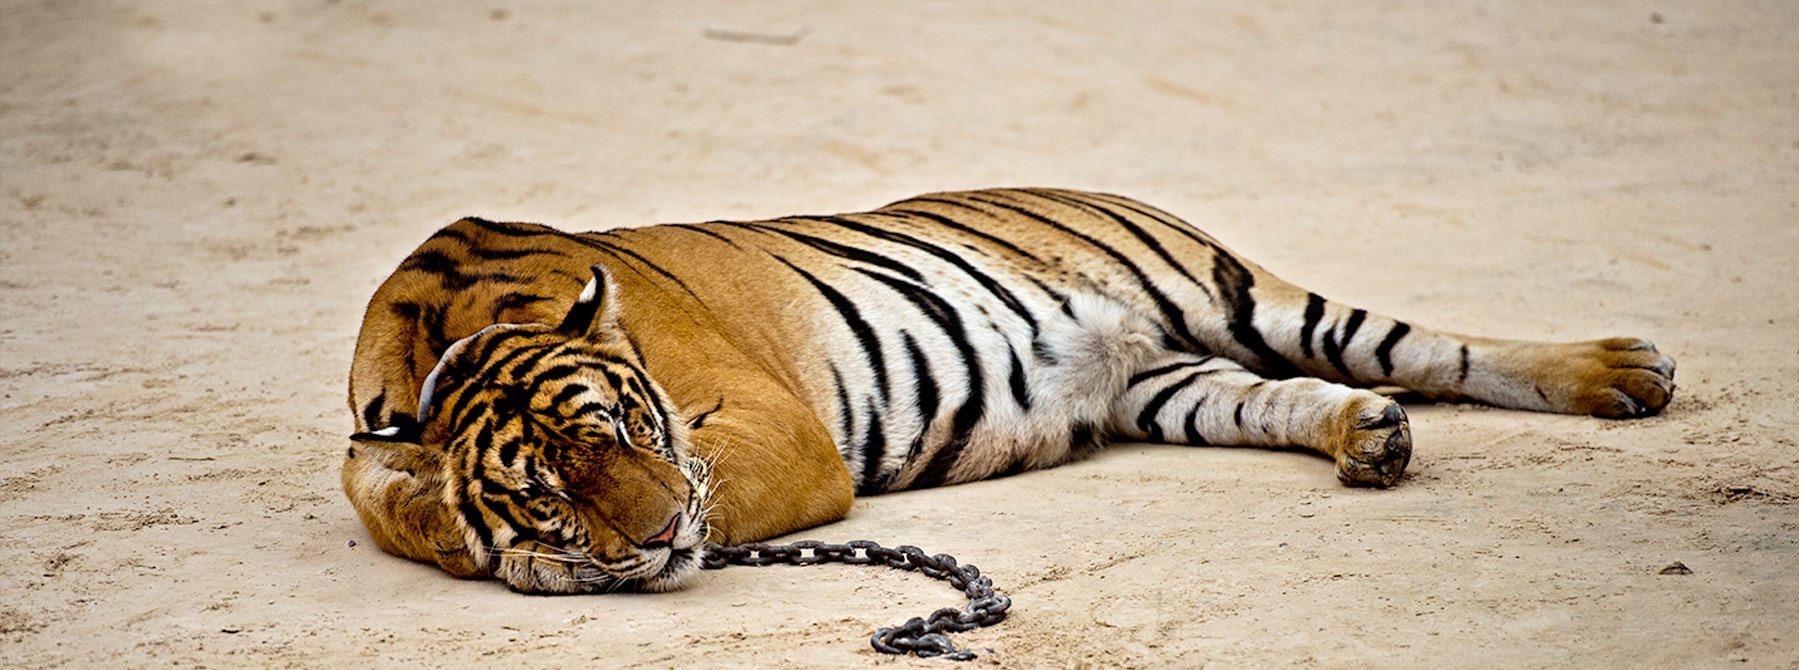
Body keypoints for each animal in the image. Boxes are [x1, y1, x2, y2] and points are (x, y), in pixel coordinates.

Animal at [347, 187, 1669, 590]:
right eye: (549, 484)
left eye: (627, 423)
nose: (663, 539)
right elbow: (393, 491)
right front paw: (495, 538)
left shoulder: (770, 430)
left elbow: (719, 485)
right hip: (1176, 383)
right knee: (1291, 395)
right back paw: (1366, 439)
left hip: (1235, 291)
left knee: (1426, 345)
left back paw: (1622, 371)